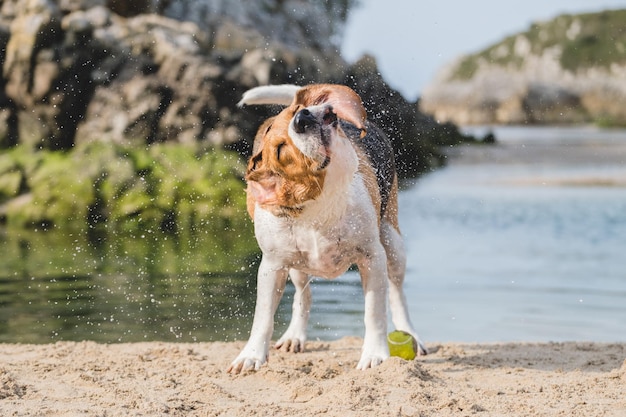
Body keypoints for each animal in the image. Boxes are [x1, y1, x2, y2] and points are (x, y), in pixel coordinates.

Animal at [224, 83, 424, 372]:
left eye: (297, 111)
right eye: (281, 149)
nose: (303, 117)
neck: (319, 202)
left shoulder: (372, 257)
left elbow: (374, 311)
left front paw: (374, 354)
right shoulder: (272, 266)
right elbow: (263, 317)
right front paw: (250, 355)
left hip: (393, 244)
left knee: (397, 293)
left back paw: (411, 334)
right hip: (296, 266)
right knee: (303, 296)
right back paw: (294, 336)